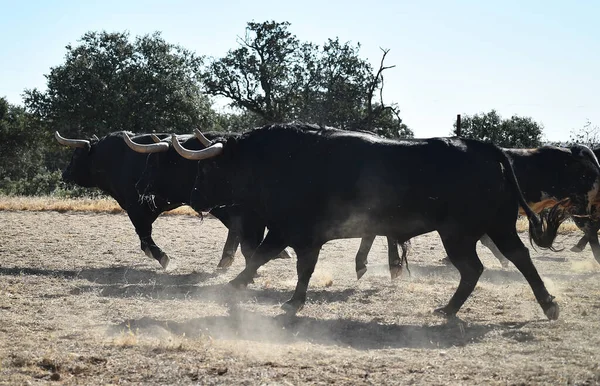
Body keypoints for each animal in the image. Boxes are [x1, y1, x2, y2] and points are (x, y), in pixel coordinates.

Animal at [173, 123, 568, 320]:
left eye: (208, 168)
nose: (194, 197)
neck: (283, 160)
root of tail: (484, 148)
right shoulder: (300, 236)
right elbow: (293, 265)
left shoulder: (293, 231)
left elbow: (267, 257)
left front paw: (247, 288)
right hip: (493, 227)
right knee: (512, 259)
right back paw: (541, 304)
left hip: (461, 233)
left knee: (480, 267)